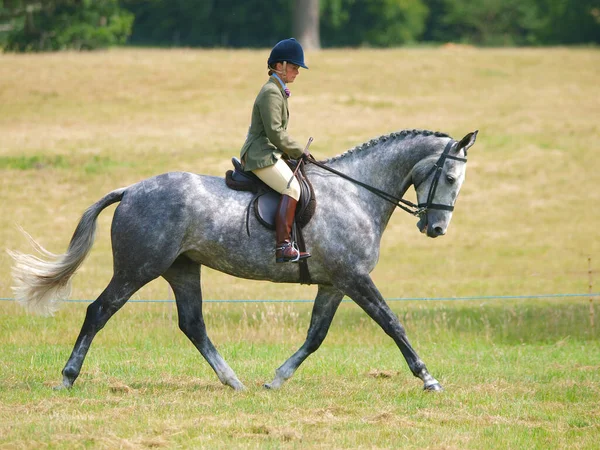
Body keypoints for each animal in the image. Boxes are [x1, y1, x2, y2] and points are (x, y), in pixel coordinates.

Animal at [8, 128, 478, 392]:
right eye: (450, 176)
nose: (436, 228)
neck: (356, 191)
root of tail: (131, 190)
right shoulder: (355, 278)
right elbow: (393, 324)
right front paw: (428, 378)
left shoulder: (335, 283)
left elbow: (316, 336)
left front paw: (276, 379)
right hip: (138, 268)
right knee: (99, 310)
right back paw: (68, 377)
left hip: (182, 269)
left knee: (192, 324)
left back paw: (232, 380)